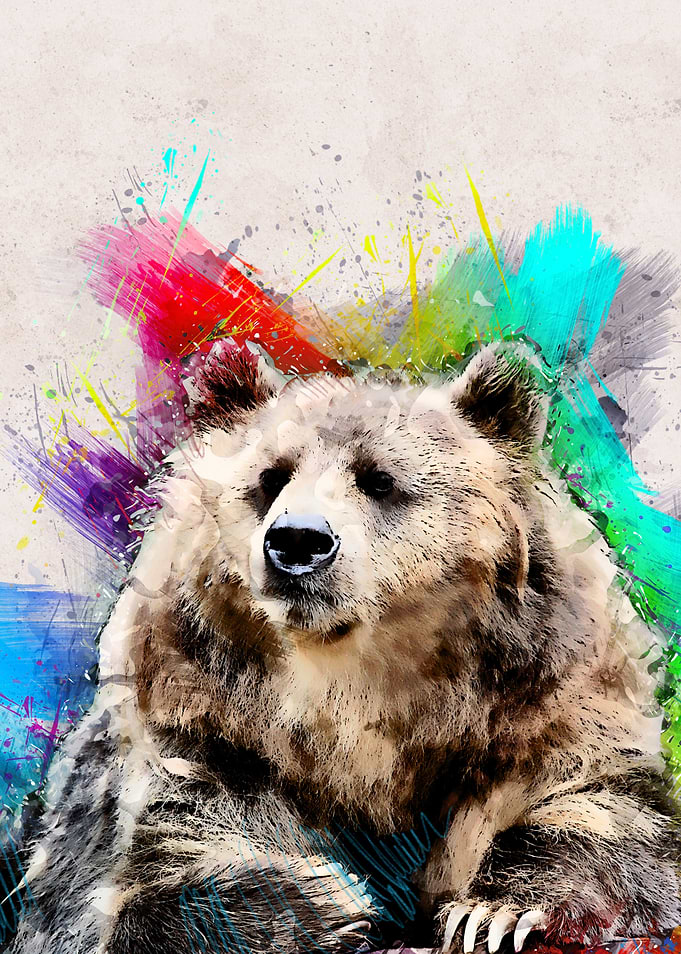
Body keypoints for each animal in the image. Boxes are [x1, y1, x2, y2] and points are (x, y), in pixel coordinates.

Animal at [2, 341, 680, 954]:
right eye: (270, 477)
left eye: (380, 480)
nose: (298, 541)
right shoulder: (207, 740)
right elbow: (152, 881)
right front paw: (332, 902)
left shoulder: (543, 711)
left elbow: (605, 816)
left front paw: (492, 913)